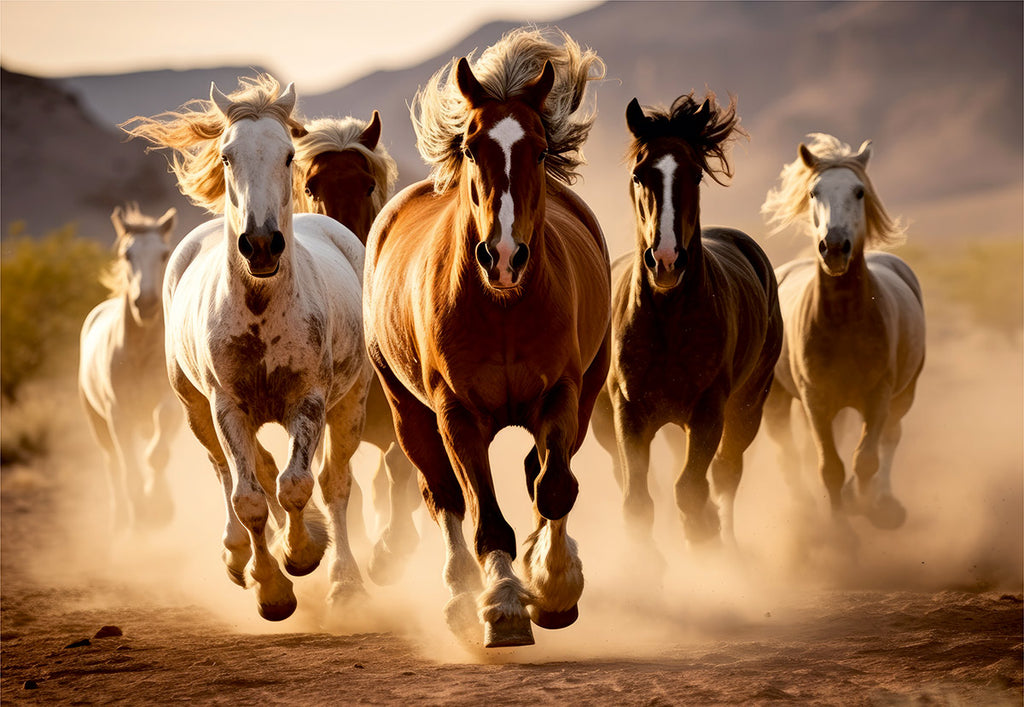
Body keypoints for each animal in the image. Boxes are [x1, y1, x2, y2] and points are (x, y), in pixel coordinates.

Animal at [78, 203, 179, 533]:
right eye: (127, 255)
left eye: (164, 253)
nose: (145, 303)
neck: (140, 356)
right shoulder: (117, 415)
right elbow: (130, 470)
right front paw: (142, 515)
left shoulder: (170, 404)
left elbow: (157, 454)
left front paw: (160, 507)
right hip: (98, 422)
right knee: (113, 466)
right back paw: (121, 520)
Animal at [122, 75, 372, 621]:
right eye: (227, 155)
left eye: (288, 155)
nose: (260, 244)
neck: (261, 313)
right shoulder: (227, 406)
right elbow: (250, 497)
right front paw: (271, 588)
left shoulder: (310, 401)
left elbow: (297, 484)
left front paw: (301, 554)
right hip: (196, 409)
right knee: (229, 471)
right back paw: (238, 554)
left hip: (352, 403)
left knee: (335, 482)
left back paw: (344, 579)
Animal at [364, 27, 610, 647]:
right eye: (473, 149)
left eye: (540, 150)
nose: (502, 256)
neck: (501, 309)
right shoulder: (457, 413)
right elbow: (484, 516)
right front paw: (502, 605)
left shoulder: (561, 393)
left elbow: (554, 486)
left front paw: (554, 586)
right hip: (408, 412)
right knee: (444, 496)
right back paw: (459, 598)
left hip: (588, 392)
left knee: (539, 474)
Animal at [590, 93, 783, 558]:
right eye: (639, 173)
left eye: (694, 173)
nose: (666, 260)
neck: (667, 321)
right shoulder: (629, 412)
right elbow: (638, 497)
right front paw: (647, 562)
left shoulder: (709, 411)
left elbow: (692, 488)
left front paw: (705, 544)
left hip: (747, 405)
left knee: (727, 472)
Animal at [760, 134, 925, 530]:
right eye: (814, 192)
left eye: (859, 191)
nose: (834, 247)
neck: (844, 321)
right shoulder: (815, 400)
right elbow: (830, 467)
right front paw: (840, 530)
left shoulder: (879, 396)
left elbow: (866, 459)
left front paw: (867, 506)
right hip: (780, 400)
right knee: (788, 449)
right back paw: (804, 509)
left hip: (904, 394)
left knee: (890, 439)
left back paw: (884, 501)